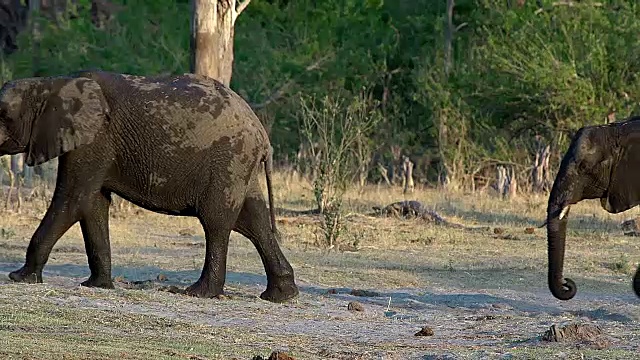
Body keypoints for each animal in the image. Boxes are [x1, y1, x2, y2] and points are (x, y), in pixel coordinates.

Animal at [0, 69, 300, 302]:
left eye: (4, 116)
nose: (14, 274)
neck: (50, 83)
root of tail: (263, 136)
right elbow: (93, 204)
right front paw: (97, 286)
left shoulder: (94, 139)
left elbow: (72, 200)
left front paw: (19, 278)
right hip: (240, 168)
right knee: (254, 221)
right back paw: (281, 296)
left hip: (229, 161)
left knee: (217, 222)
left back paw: (199, 293)